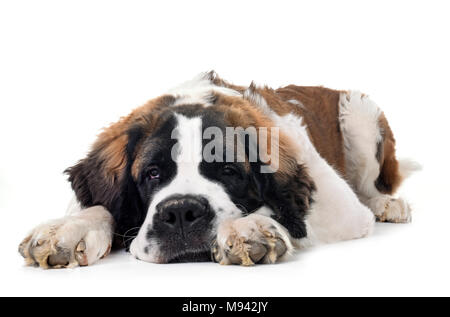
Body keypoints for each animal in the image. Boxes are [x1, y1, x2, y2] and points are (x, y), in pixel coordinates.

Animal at [17, 71, 418, 266]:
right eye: (152, 174)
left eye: (228, 172)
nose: (181, 212)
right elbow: (100, 206)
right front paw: (70, 228)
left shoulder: (341, 208)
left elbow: (288, 212)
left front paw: (248, 226)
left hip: (361, 112)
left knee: (373, 186)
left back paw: (387, 204)